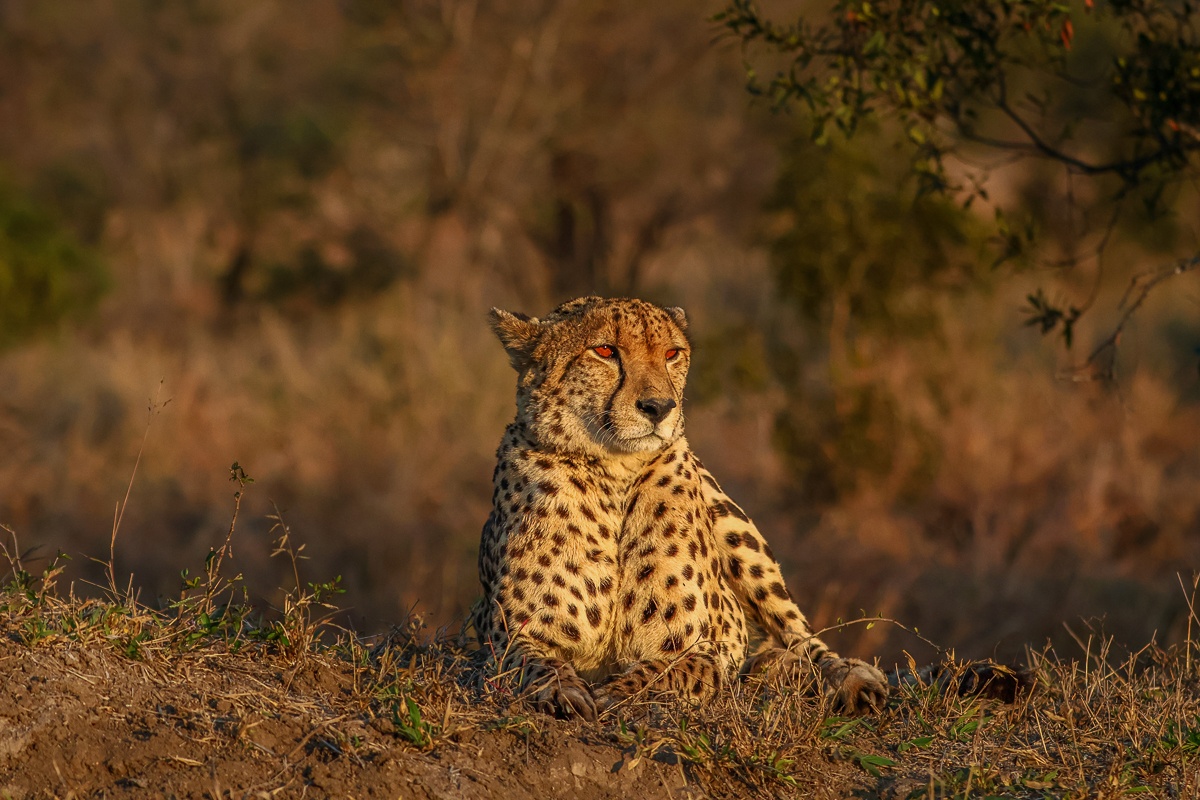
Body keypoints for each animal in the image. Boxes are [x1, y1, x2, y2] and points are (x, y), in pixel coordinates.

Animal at [471, 295, 890, 721]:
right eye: (605, 351)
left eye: (672, 354)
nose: (659, 407)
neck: (614, 472)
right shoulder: (511, 640)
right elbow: (539, 665)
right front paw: (563, 692)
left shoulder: (697, 649)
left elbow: (661, 673)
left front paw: (614, 694)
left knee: (801, 636)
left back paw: (849, 679)